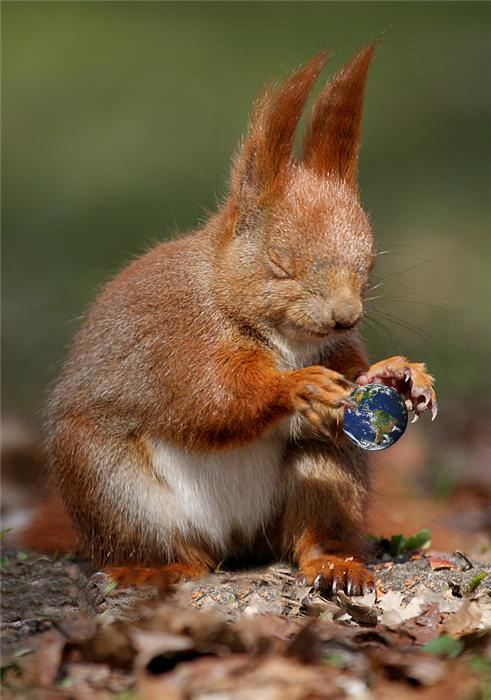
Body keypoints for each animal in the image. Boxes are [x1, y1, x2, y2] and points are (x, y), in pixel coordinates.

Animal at [19, 45, 437, 595]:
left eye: (368, 263)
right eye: (280, 263)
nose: (346, 317)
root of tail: (235, 542)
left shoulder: (336, 348)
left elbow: (355, 370)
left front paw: (401, 374)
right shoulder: (179, 339)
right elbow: (212, 399)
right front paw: (296, 387)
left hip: (328, 471)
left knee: (311, 530)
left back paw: (334, 562)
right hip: (111, 485)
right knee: (170, 550)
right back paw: (152, 568)